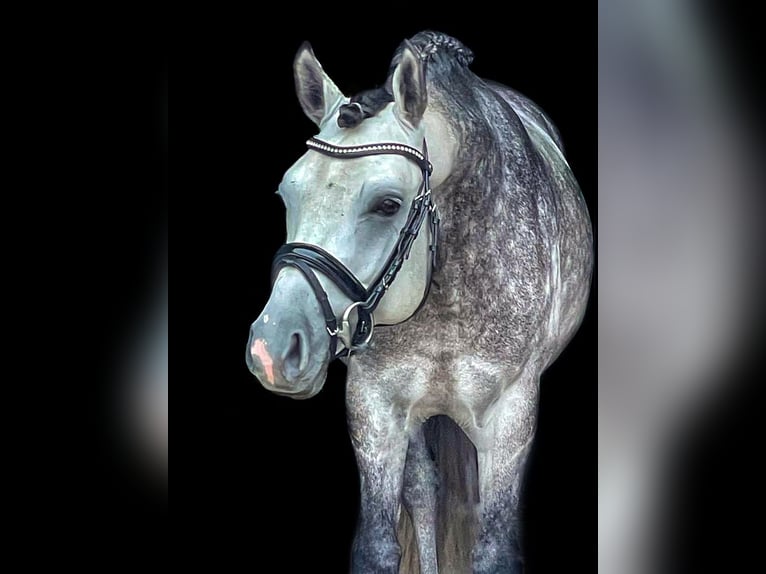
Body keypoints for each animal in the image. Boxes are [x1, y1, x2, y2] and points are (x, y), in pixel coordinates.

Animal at [246, 31, 592, 574]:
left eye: (388, 204)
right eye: (286, 195)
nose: (273, 349)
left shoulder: (510, 414)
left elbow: (493, 550)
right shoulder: (374, 406)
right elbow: (380, 543)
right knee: (426, 493)